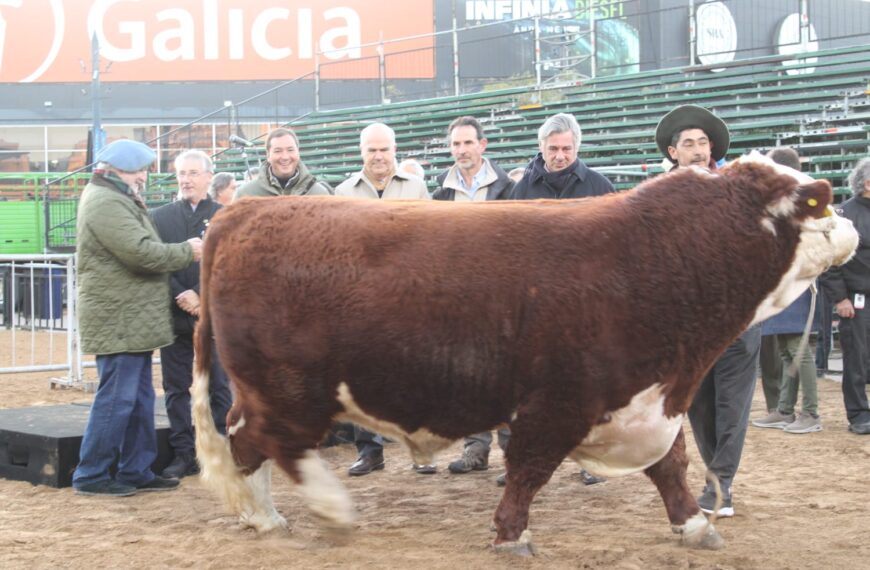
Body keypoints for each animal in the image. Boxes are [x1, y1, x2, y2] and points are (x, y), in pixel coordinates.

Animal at [192, 153, 860, 552]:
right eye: (820, 201)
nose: (854, 227)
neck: (656, 257)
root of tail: (246, 209)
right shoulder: (557, 402)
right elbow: (529, 470)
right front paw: (511, 535)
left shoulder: (650, 401)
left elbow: (670, 465)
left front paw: (695, 524)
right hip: (289, 387)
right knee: (269, 440)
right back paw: (324, 511)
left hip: (274, 388)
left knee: (244, 438)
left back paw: (261, 514)